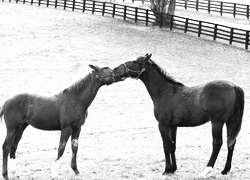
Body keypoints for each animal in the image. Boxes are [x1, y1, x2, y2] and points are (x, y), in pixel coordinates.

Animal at [113, 53, 244, 177]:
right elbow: (172, 146)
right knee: (231, 142)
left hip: (217, 122)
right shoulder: (173, 126)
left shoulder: (163, 125)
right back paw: (225, 170)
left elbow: (166, 146)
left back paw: (207, 170)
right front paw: (173, 169)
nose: (115, 70)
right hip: (229, 122)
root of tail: (233, 86)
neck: (165, 91)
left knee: (217, 143)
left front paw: (166, 170)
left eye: (136, 62)